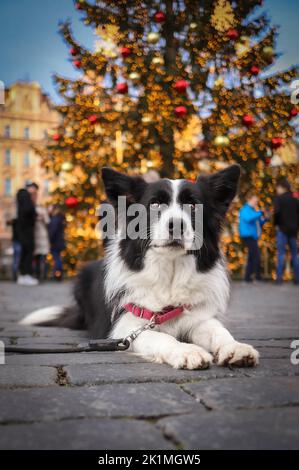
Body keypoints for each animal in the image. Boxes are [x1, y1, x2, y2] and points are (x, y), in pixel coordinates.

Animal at [22, 166, 258, 370]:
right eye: (155, 205)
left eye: (193, 206)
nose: (176, 225)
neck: (169, 273)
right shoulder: (125, 328)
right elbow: (162, 336)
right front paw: (187, 351)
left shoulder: (196, 316)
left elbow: (218, 330)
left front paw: (236, 347)